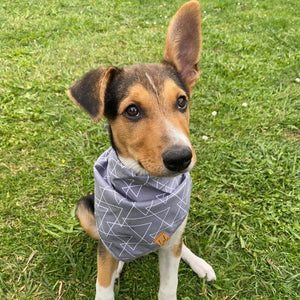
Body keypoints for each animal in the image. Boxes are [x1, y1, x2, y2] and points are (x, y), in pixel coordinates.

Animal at [67, 1, 216, 298]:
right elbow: (103, 283)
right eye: (132, 110)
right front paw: (112, 274)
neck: (145, 189)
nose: (180, 158)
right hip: (85, 210)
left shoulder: (169, 240)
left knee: (179, 242)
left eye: (182, 101)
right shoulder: (106, 241)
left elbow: (169, 286)